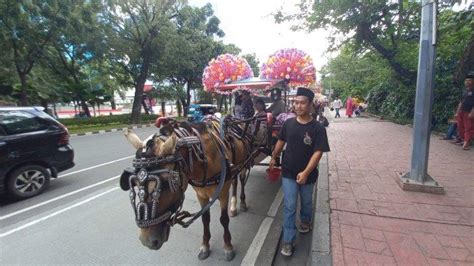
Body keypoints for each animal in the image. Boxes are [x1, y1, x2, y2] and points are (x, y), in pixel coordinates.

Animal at [122, 119, 256, 262]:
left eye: (166, 184)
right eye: (135, 183)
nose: (147, 241)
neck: (206, 159)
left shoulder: (223, 192)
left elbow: (224, 219)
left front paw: (228, 246)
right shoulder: (201, 195)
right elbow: (205, 219)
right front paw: (205, 245)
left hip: (242, 164)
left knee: (240, 179)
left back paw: (241, 203)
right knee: (235, 181)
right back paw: (234, 206)